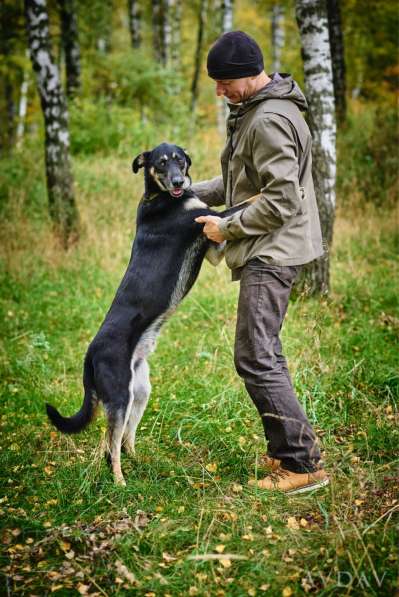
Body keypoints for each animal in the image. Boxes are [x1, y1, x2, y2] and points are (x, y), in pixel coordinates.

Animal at [45, 143, 255, 484]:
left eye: (180, 160)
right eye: (161, 163)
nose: (178, 182)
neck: (161, 197)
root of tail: (90, 355)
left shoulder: (213, 247)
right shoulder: (209, 219)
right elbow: (243, 204)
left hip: (139, 391)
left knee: (119, 438)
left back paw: (137, 459)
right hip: (119, 396)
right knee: (112, 443)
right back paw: (119, 481)